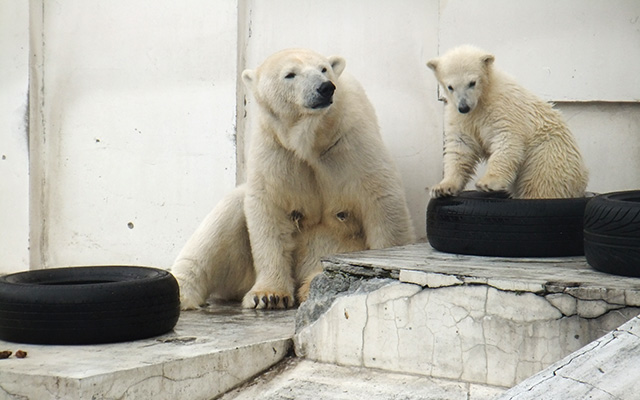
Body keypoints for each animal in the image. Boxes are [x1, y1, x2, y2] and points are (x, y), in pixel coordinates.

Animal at [171, 49, 416, 310]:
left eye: (323, 69)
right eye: (290, 74)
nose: (325, 88)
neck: (312, 138)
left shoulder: (350, 140)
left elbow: (381, 197)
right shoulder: (277, 149)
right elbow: (268, 208)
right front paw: (268, 295)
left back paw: (310, 287)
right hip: (243, 270)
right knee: (226, 215)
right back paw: (181, 292)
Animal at [428, 45, 588, 198]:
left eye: (472, 83)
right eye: (450, 86)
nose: (464, 106)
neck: (483, 97)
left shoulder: (503, 107)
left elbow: (506, 139)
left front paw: (488, 183)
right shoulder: (461, 117)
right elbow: (460, 147)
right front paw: (442, 188)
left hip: (546, 155)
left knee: (540, 185)